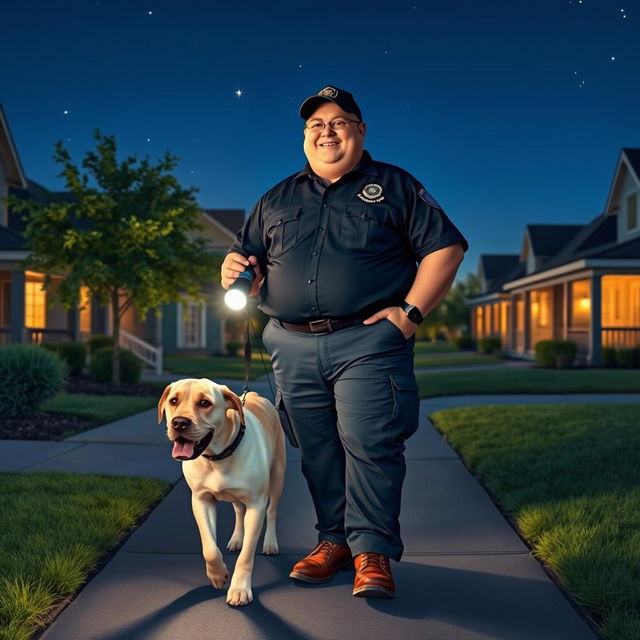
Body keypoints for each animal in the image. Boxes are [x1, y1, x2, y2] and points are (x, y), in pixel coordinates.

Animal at [158, 378, 284, 608]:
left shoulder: (256, 505)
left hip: (278, 476)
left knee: (272, 511)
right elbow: (209, 547)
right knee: (238, 512)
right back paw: (236, 539)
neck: (218, 456)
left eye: (205, 403)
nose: (179, 423)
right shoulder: (201, 500)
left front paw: (239, 589)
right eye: (173, 401)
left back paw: (270, 543)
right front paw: (217, 574)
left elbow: (246, 557)